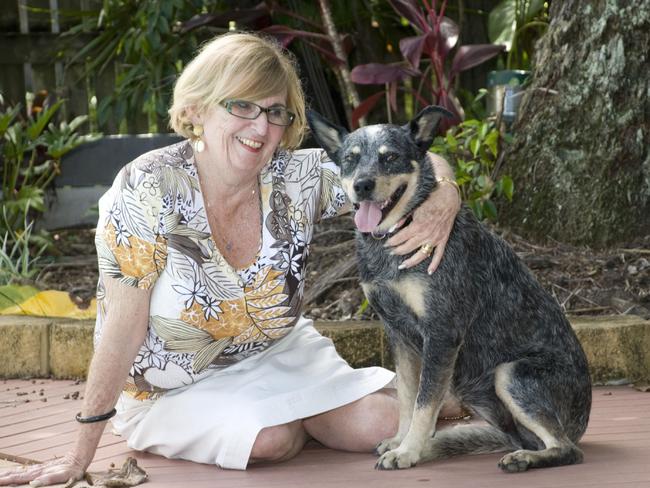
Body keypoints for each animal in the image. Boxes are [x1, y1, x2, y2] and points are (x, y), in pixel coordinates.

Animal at [306, 107, 588, 472]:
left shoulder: (441, 333)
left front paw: (407, 451)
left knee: (567, 449)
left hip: (510, 373)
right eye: (350, 159)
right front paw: (401, 441)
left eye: (390, 157)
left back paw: (523, 459)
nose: (362, 185)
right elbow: (407, 397)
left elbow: (424, 403)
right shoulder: (399, 335)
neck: (395, 241)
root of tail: (583, 420)